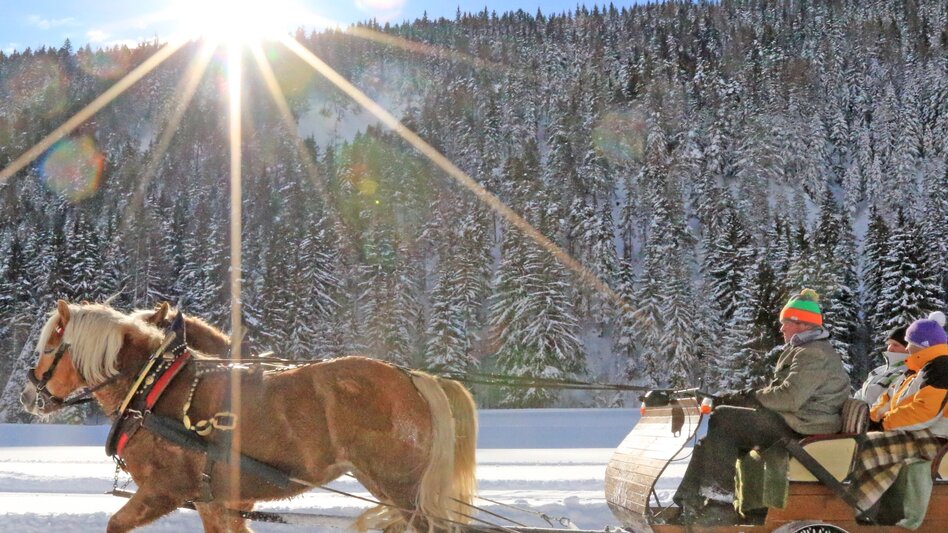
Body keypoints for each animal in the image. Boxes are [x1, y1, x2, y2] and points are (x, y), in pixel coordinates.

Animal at [21, 300, 477, 533]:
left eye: (47, 348)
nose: (27, 396)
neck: (153, 386)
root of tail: (414, 377)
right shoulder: (218, 503)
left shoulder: (164, 489)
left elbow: (116, 524)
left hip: (399, 487)